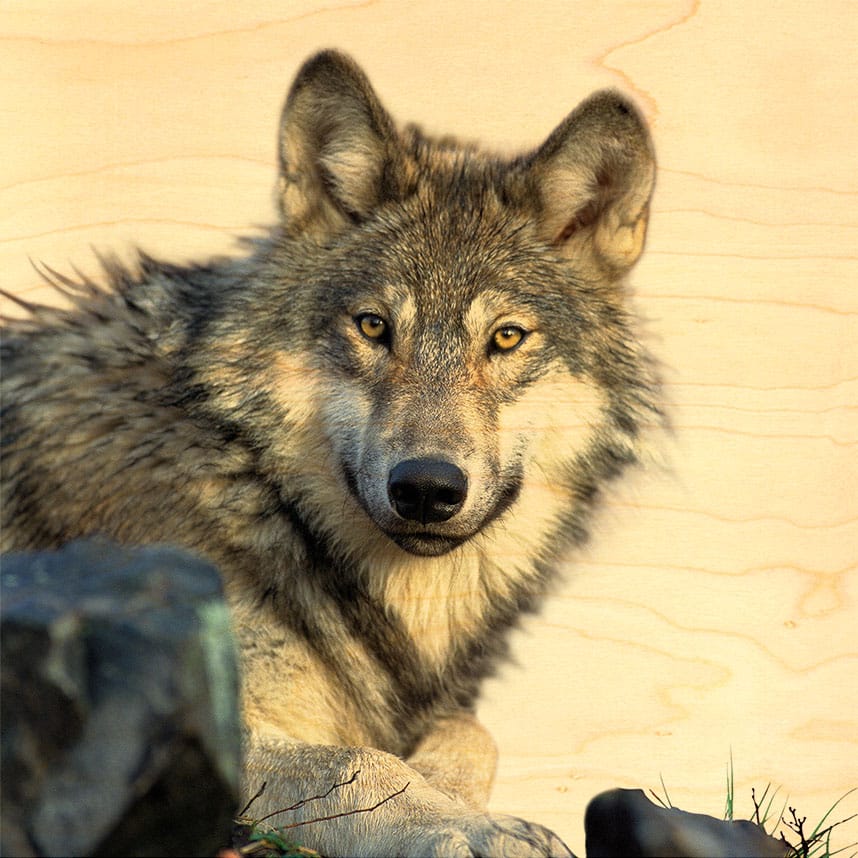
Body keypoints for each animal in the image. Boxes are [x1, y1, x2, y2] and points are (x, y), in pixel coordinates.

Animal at [1, 49, 658, 857]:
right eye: (374, 326)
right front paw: (471, 826)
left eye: (506, 337)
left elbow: (472, 732)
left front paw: (459, 795)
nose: (427, 488)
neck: (257, 490)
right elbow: (360, 762)